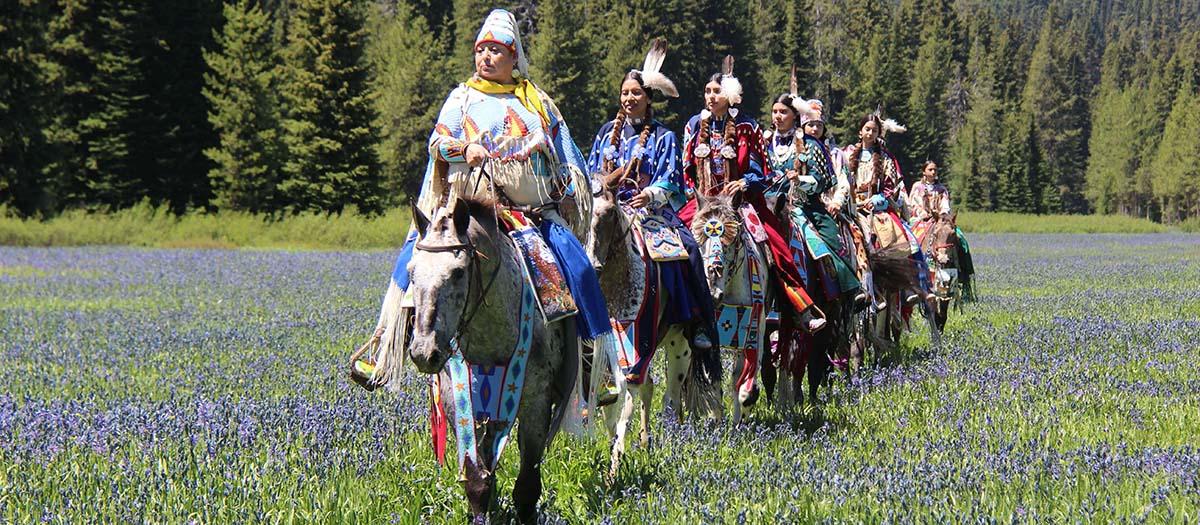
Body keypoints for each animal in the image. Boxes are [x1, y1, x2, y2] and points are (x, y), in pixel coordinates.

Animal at [405, 197, 578, 525]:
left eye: (459, 272)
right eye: (411, 271)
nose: (423, 351)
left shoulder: (536, 403)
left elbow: (527, 487)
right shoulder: (458, 401)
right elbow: (477, 479)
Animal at [588, 182, 720, 477]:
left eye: (610, 212)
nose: (592, 265)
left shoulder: (637, 349)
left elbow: (626, 406)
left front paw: (615, 465)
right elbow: (611, 409)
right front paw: (615, 454)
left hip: (680, 347)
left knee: (671, 395)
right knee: (651, 389)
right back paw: (645, 441)